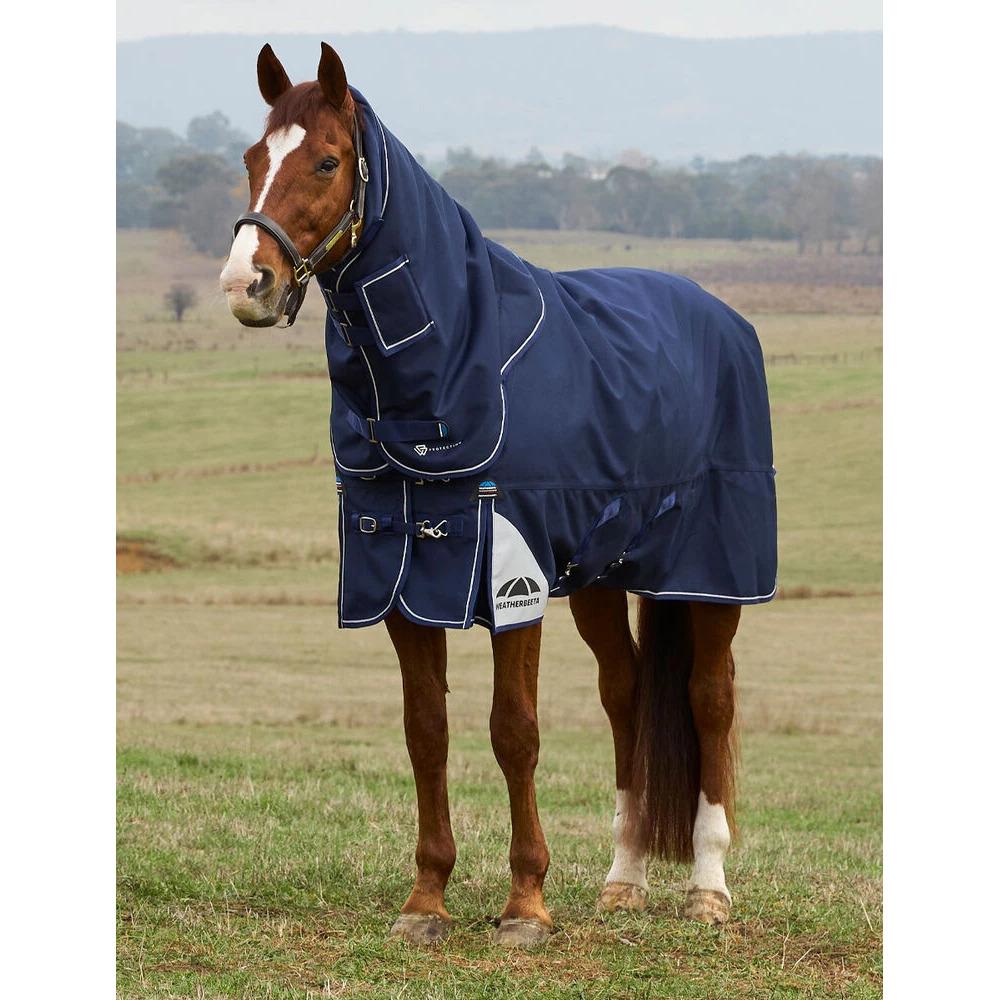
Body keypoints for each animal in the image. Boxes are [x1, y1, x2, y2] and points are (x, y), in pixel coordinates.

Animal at [220, 42, 776, 949]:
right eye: (251, 160)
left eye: (328, 161)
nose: (245, 284)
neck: (453, 363)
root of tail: (721, 318)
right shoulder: (401, 572)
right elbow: (427, 732)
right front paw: (426, 901)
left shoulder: (511, 574)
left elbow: (514, 732)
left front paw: (525, 905)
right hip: (603, 576)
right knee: (626, 698)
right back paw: (623, 880)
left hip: (709, 576)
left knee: (711, 702)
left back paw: (707, 889)